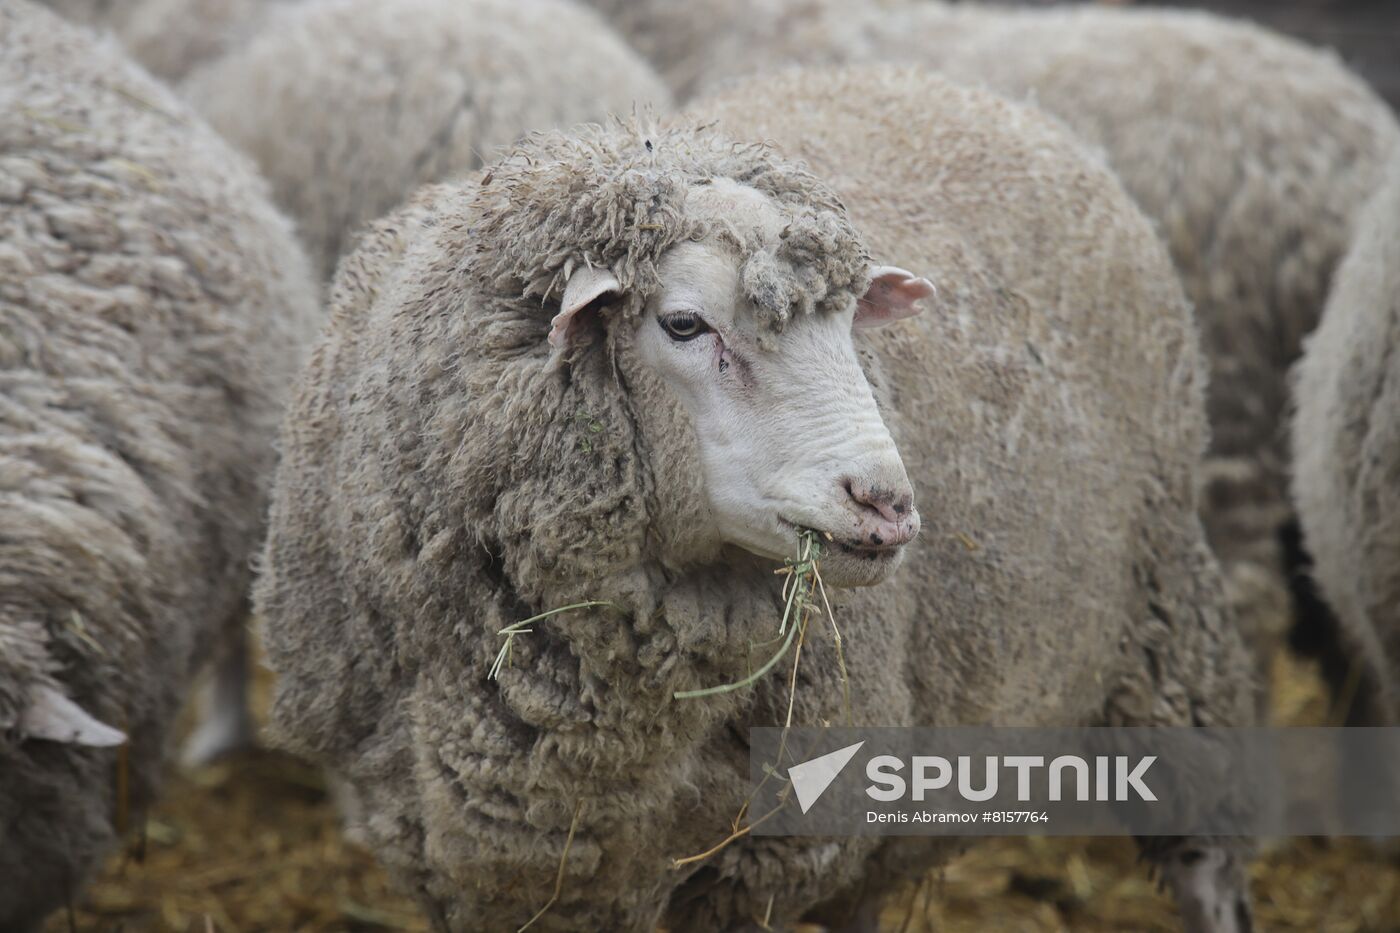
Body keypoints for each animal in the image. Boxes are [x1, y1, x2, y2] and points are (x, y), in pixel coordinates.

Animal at [257, 67, 1254, 930]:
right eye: (683, 323)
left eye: (852, 325)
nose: (886, 504)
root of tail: (952, 83)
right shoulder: (462, 853)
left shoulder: (759, 857)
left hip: (1165, 617)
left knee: (1206, 846)